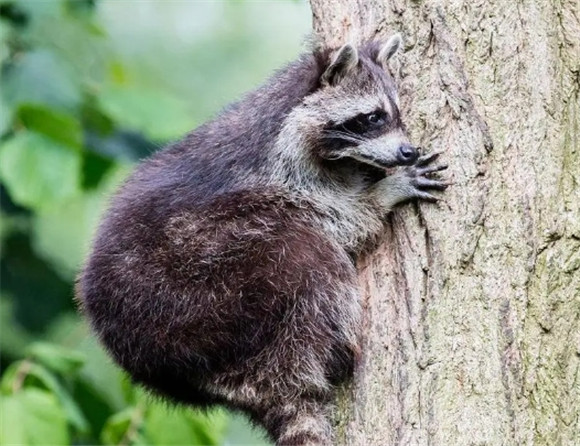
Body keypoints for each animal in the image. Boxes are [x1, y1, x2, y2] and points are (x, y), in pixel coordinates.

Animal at [76, 35, 448, 446]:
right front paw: (381, 194)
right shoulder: (278, 179)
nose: (407, 152)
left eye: (395, 113)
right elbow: (340, 220)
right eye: (372, 117)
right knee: (309, 258)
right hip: (203, 294)